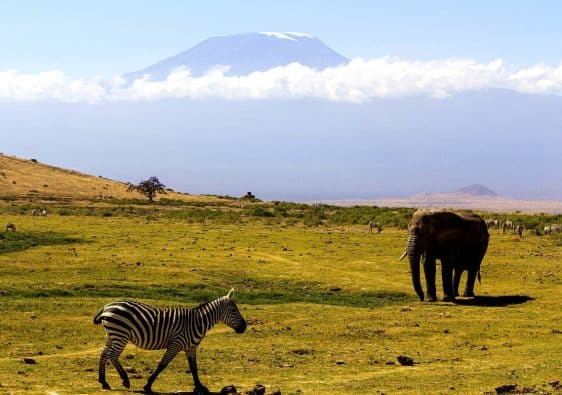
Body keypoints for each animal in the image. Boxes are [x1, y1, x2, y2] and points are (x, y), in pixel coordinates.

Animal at [93, 290, 245, 394]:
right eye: (233, 310)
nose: (244, 327)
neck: (197, 322)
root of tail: (107, 306)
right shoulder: (175, 344)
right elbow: (162, 365)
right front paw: (147, 386)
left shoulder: (191, 348)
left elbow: (193, 368)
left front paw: (199, 387)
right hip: (121, 334)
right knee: (112, 355)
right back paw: (125, 380)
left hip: (112, 334)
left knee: (103, 353)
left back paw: (104, 382)